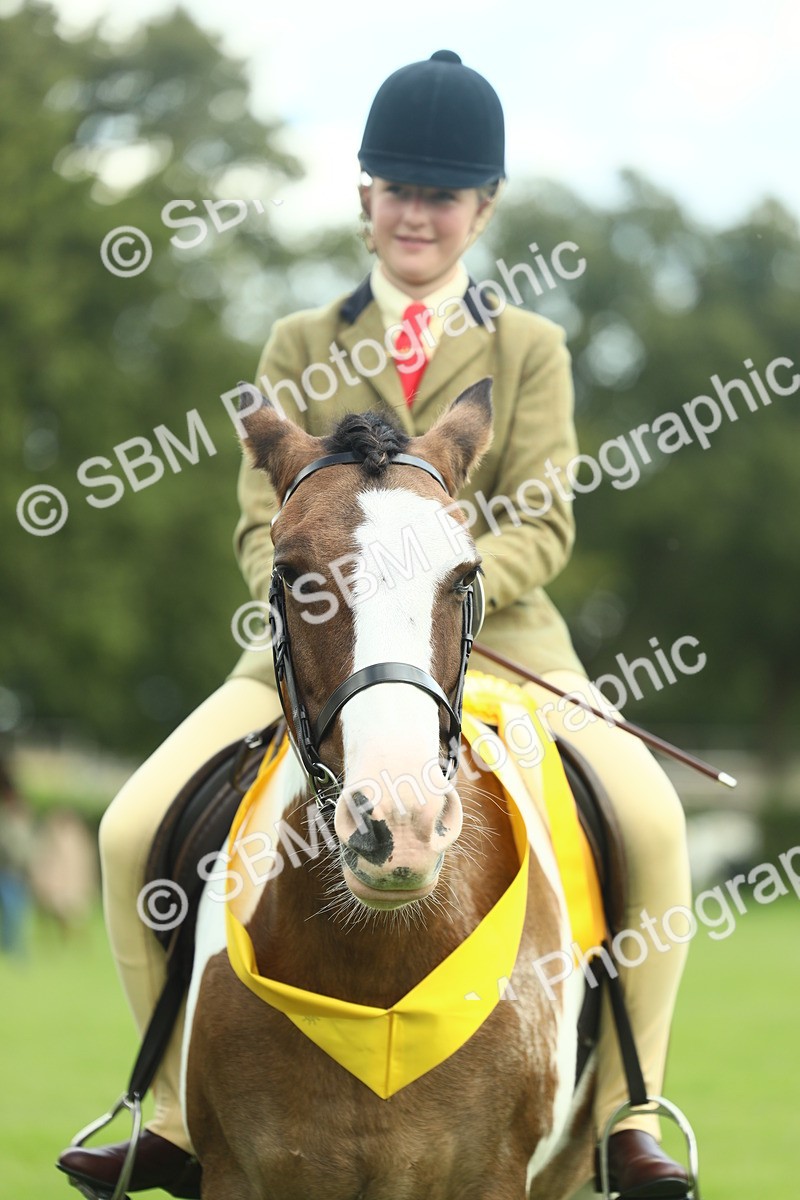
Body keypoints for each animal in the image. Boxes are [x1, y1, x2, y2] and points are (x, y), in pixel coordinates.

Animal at [180, 379, 597, 1200]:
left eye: (464, 577)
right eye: (293, 576)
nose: (398, 827)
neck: (377, 977)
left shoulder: (498, 1174)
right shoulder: (234, 1172)